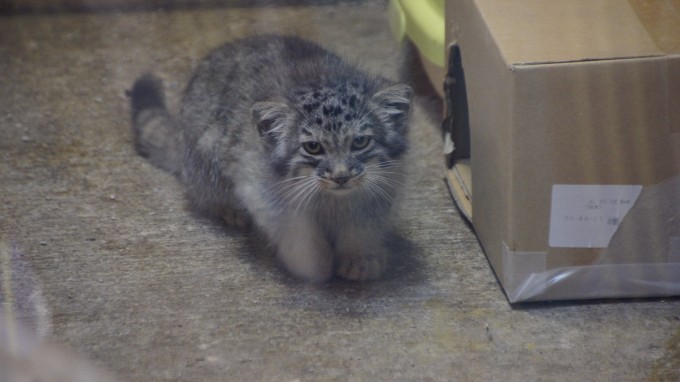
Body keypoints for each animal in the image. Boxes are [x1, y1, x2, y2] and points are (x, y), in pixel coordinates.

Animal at [130, 35, 412, 280]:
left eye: (360, 142)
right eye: (313, 147)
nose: (341, 176)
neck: (331, 200)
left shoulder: (385, 183)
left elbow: (364, 224)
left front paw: (360, 257)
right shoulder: (258, 184)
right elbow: (291, 227)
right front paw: (313, 261)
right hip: (207, 152)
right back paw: (229, 209)